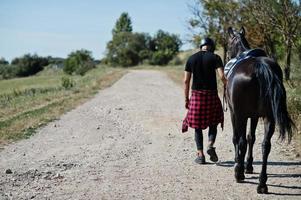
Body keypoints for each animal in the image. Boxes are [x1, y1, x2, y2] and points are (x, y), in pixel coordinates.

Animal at [225, 26, 292, 194]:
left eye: (228, 44)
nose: (227, 55)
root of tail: (260, 67)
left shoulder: (235, 114)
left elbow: (238, 138)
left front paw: (239, 165)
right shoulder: (255, 116)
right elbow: (252, 137)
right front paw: (248, 166)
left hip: (241, 115)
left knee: (241, 141)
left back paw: (239, 174)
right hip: (269, 117)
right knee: (265, 145)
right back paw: (262, 183)